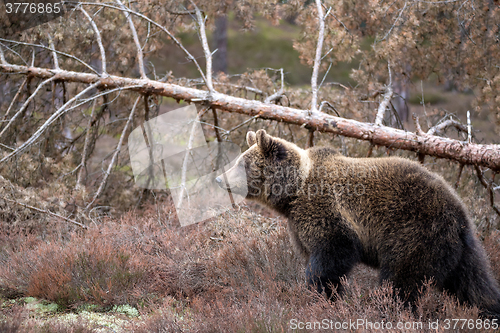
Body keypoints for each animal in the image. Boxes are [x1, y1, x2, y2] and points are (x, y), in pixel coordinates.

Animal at [216, 128, 500, 316]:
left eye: (242, 163)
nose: (220, 178)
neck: (293, 192)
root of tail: (458, 209)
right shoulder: (298, 224)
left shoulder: (327, 214)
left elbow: (329, 258)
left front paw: (320, 296)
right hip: (460, 247)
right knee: (474, 283)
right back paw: (488, 311)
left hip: (413, 232)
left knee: (402, 281)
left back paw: (388, 311)